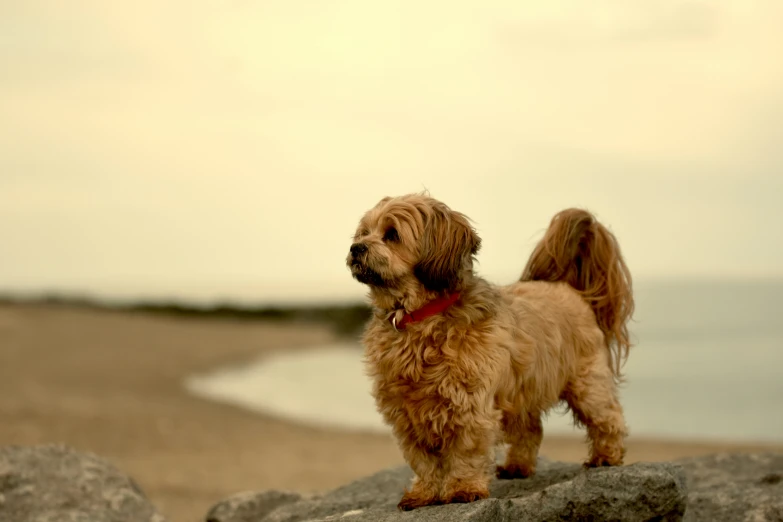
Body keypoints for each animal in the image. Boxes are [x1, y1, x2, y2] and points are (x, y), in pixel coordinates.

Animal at [346, 191, 632, 508]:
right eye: (363, 232)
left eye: (392, 234)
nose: (356, 248)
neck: (420, 317)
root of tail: (566, 287)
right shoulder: (406, 413)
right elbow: (422, 459)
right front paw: (423, 493)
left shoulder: (469, 405)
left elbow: (466, 451)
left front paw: (463, 488)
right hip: (521, 390)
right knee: (531, 429)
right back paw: (518, 466)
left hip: (587, 384)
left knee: (608, 417)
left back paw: (606, 456)